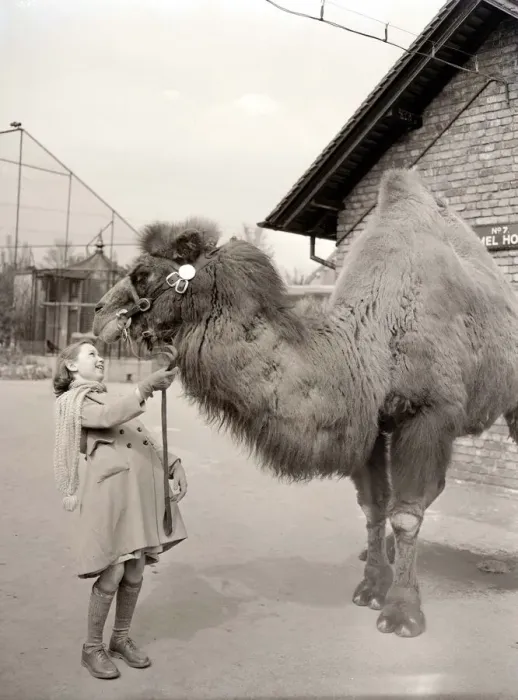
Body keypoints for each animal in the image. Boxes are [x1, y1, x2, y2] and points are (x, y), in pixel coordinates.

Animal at [92, 168, 518, 638]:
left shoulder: (429, 413)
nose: (98, 311)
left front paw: (402, 611)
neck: (367, 345)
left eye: (142, 273)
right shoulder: (368, 423)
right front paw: (372, 585)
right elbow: (375, 506)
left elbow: (406, 513)